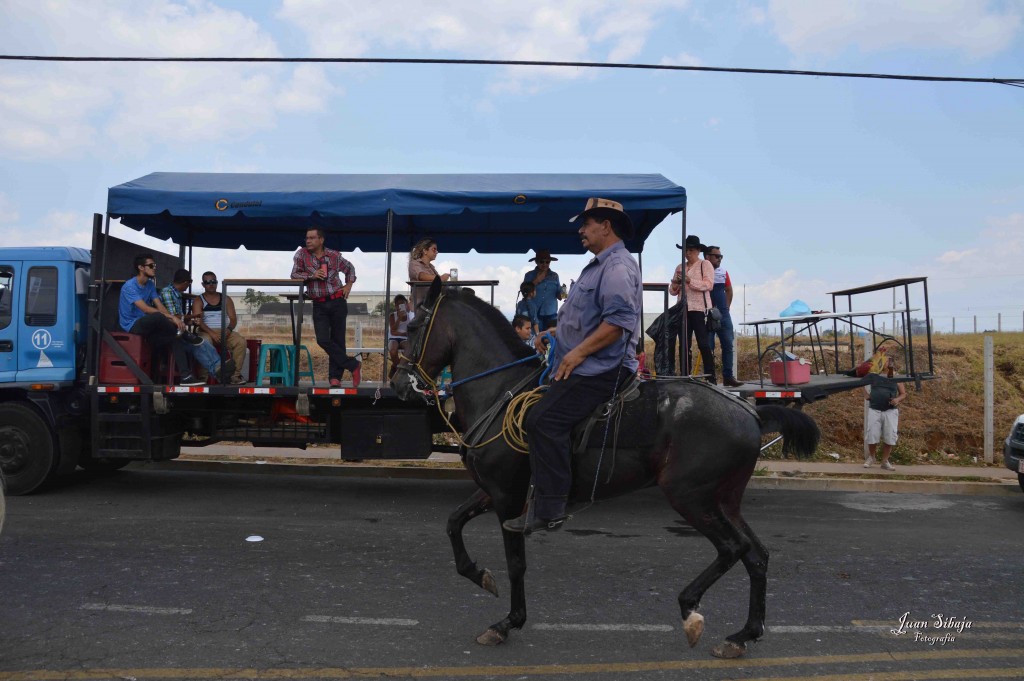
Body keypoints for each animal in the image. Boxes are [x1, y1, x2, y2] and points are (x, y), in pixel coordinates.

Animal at [387, 278, 819, 659]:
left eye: (414, 326)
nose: (398, 384)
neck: (501, 392)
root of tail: (750, 413)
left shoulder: (510, 500)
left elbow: (516, 564)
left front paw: (508, 622)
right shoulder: (492, 491)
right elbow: (453, 523)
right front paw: (478, 574)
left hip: (690, 496)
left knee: (733, 548)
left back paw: (690, 608)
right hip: (724, 500)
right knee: (756, 555)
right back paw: (743, 634)